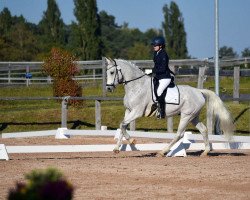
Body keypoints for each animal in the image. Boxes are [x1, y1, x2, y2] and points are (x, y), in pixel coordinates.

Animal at [105, 57, 234, 156]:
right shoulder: (128, 110)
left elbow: (123, 125)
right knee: (203, 129)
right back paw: (206, 152)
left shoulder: (137, 112)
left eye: (112, 72)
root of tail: (199, 91)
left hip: (186, 116)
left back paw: (162, 152)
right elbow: (122, 126)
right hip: (193, 116)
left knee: (179, 134)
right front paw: (117, 148)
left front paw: (132, 140)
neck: (137, 86)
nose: (108, 88)